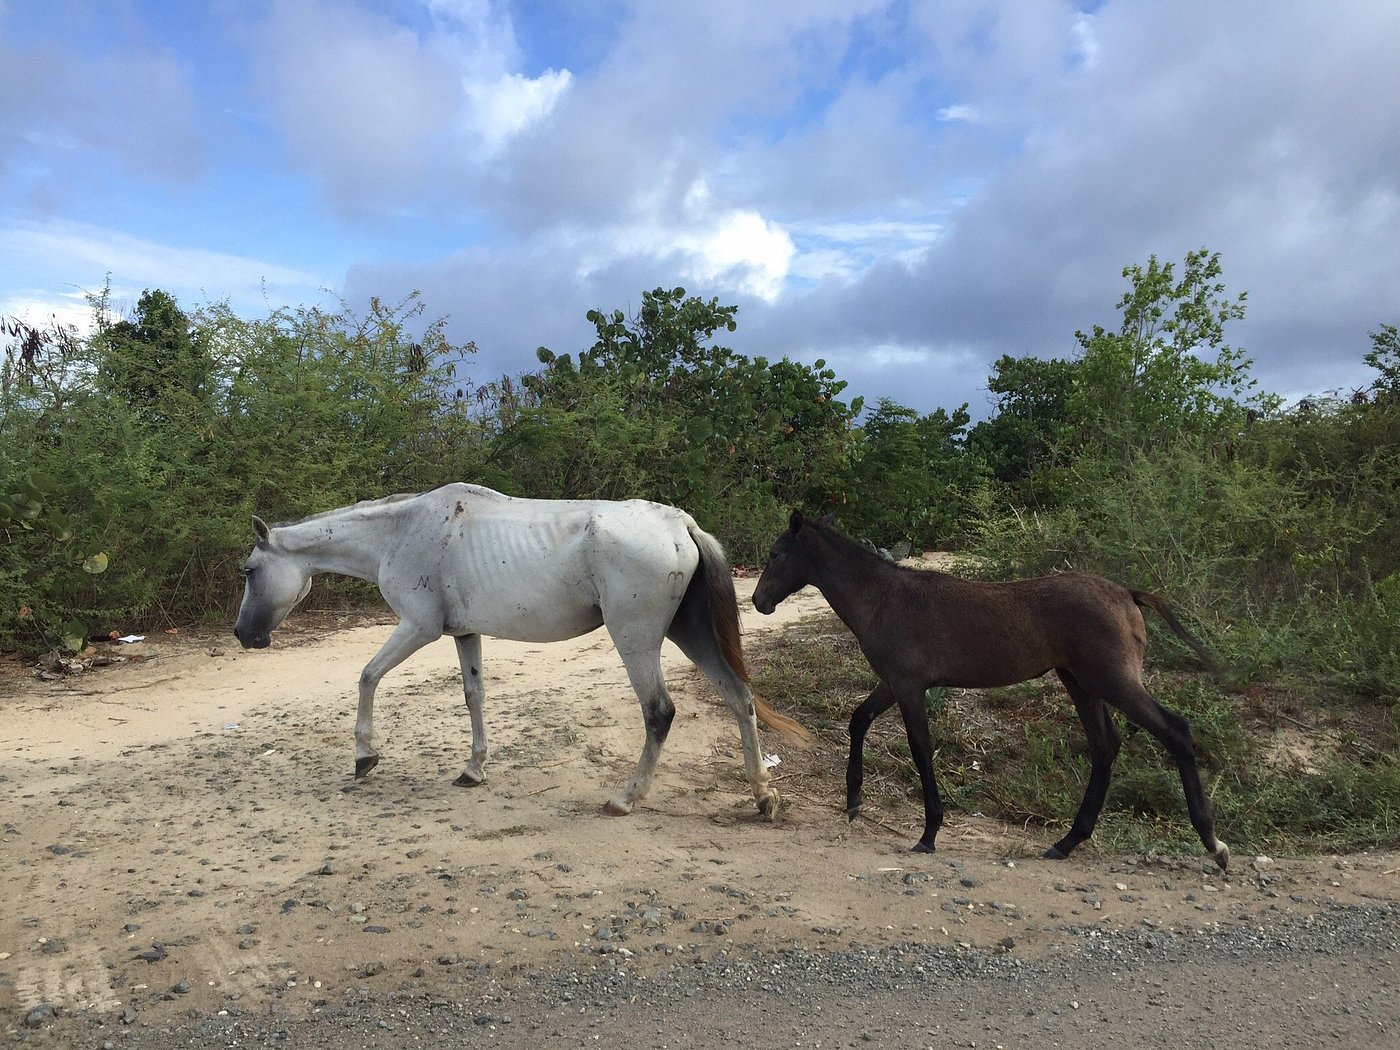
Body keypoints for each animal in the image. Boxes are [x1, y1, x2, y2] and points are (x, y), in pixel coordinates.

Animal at [233, 483, 808, 821]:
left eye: (250, 571)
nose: (243, 635)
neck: (404, 531)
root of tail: (679, 524)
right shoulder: (463, 634)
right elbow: (474, 697)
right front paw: (473, 769)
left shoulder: (418, 628)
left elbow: (368, 676)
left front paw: (364, 757)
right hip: (690, 634)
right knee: (739, 697)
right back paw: (762, 796)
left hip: (637, 640)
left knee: (659, 711)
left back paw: (625, 797)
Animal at [751, 511, 1229, 871]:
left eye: (775, 554)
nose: (758, 601)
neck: (885, 597)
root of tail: (1128, 594)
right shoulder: (894, 684)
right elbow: (858, 720)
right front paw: (853, 801)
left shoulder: (909, 687)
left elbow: (920, 749)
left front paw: (929, 833)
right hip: (1080, 682)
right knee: (1105, 745)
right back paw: (1066, 842)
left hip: (1111, 680)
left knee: (1174, 731)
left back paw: (1213, 843)